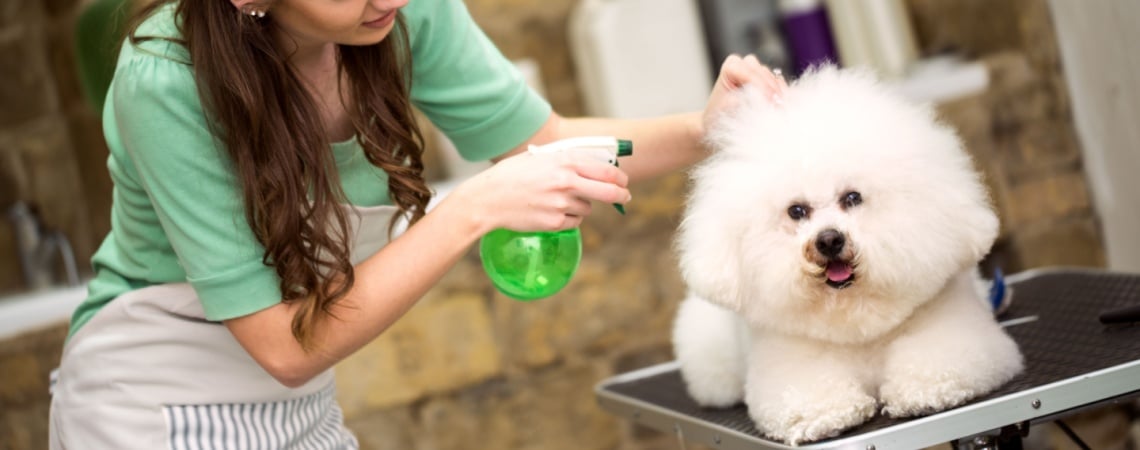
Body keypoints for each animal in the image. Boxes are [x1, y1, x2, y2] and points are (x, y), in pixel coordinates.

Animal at [665, 68, 1026, 446]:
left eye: (852, 198)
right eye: (797, 211)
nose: (828, 240)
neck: (857, 322)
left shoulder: (959, 333)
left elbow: (937, 366)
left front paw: (923, 393)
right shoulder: (791, 364)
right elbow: (812, 399)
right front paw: (826, 418)